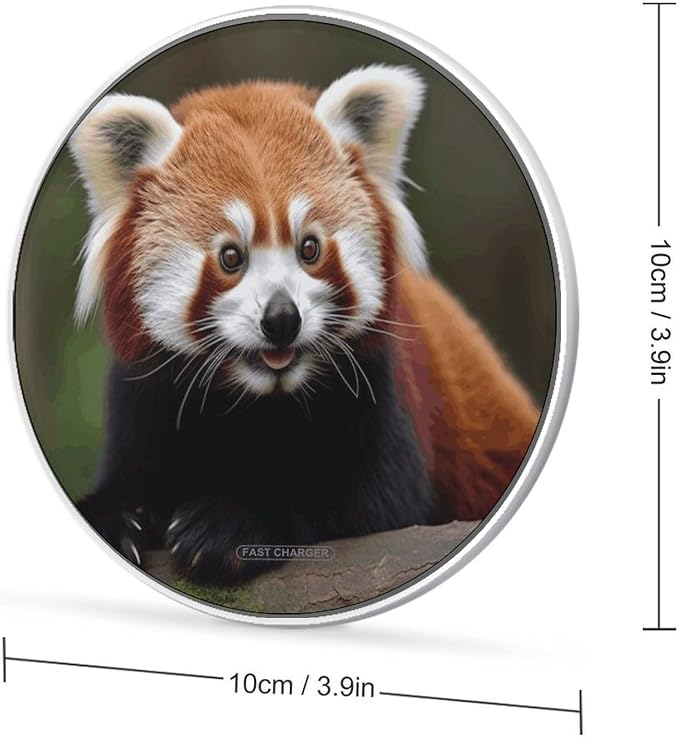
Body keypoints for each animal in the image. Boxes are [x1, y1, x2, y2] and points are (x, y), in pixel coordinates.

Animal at [69, 65, 539, 584]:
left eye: (309, 248)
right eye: (230, 257)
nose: (281, 320)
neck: (256, 402)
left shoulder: (380, 389)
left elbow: (371, 499)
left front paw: (231, 523)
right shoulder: (143, 395)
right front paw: (118, 515)